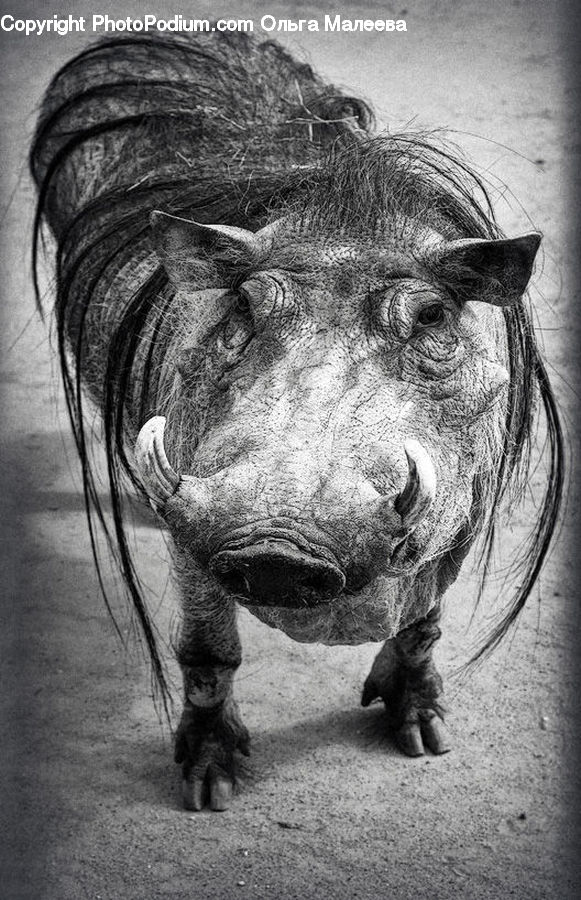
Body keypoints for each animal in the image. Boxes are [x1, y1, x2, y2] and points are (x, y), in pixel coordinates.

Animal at [31, 31, 563, 811]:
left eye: (433, 315)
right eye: (242, 305)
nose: (276, 548)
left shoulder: (466, 515)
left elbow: (422, 625)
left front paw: (423, 734)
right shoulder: (194, 529)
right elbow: (207, 651)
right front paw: (210, 783)